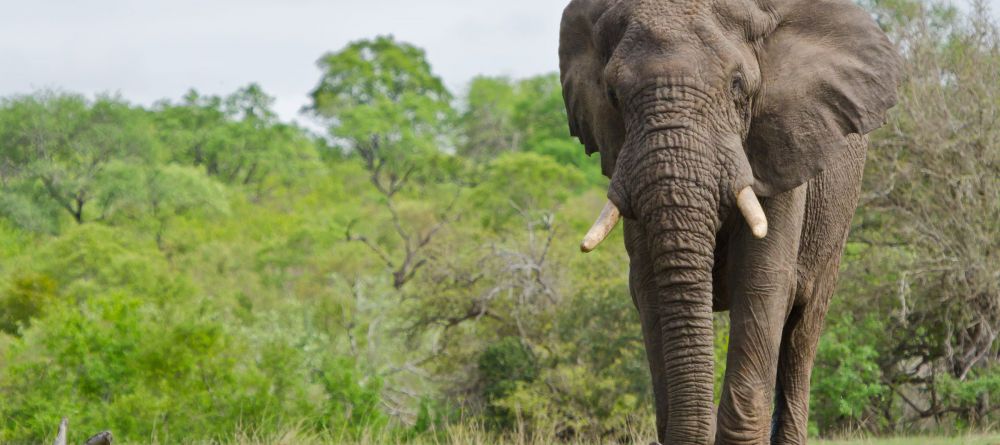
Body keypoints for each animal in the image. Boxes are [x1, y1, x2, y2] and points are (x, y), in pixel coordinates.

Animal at [559, 0, 902, 443]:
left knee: (803, 333)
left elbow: (762, 282)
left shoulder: (780, 150)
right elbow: (650, 288)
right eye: (613, 94)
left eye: (738, 85)